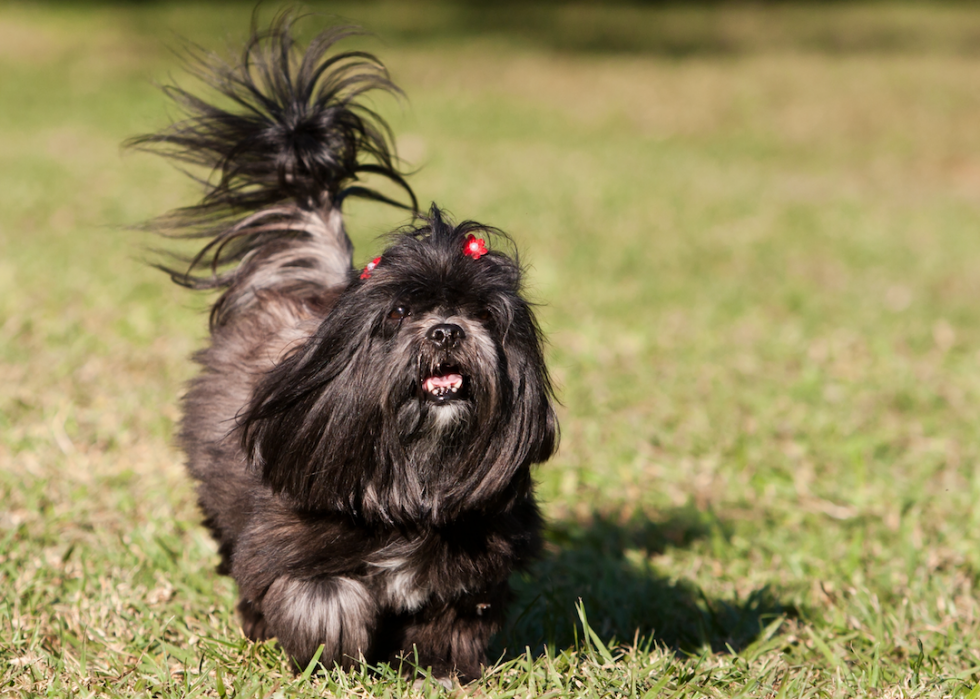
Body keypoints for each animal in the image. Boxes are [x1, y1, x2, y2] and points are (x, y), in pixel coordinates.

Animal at [128, 10, 560, 680]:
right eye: (402, 312)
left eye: (482, 315)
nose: (445, 329)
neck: (411, 480)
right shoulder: (287, 539)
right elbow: (322, 596)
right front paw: (332, 652)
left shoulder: (469, 569)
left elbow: (450, 618)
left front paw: (440, 669)